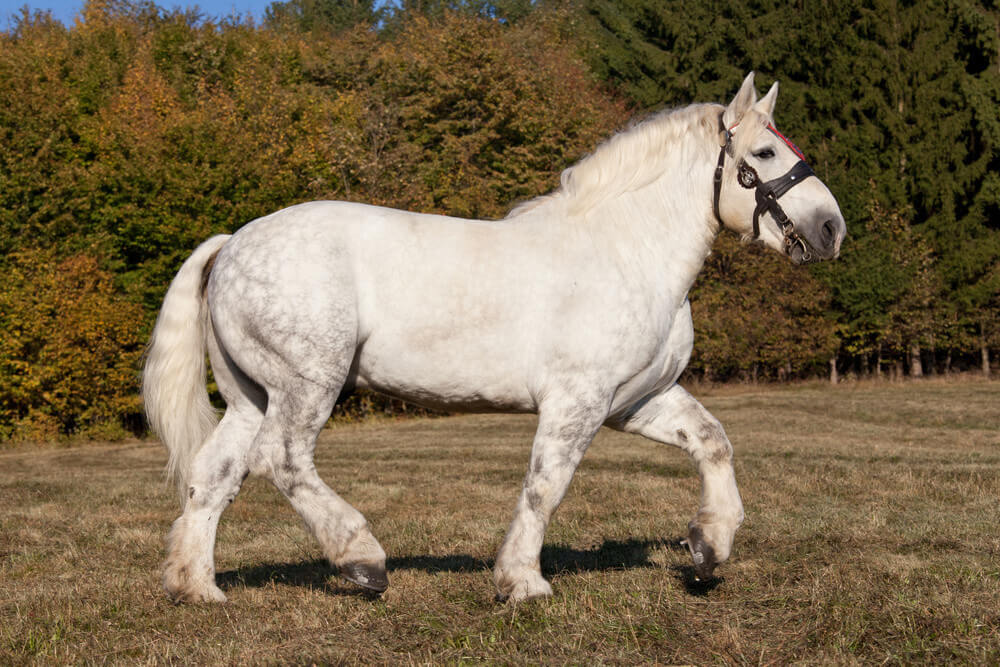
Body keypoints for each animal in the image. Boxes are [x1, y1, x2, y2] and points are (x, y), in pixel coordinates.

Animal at [141, 74, 844, 604]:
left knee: (215, 474)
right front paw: (523, 581)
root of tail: (232, 243)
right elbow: (545, 484)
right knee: (282, 460)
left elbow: (712, 442)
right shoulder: (577, 402)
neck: (625, 250)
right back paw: (362, 558)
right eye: (765, 155)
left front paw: (709, 546)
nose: (832, 229)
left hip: (251, 395)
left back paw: (196, 587)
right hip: (307, 384)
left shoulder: (636, 401)